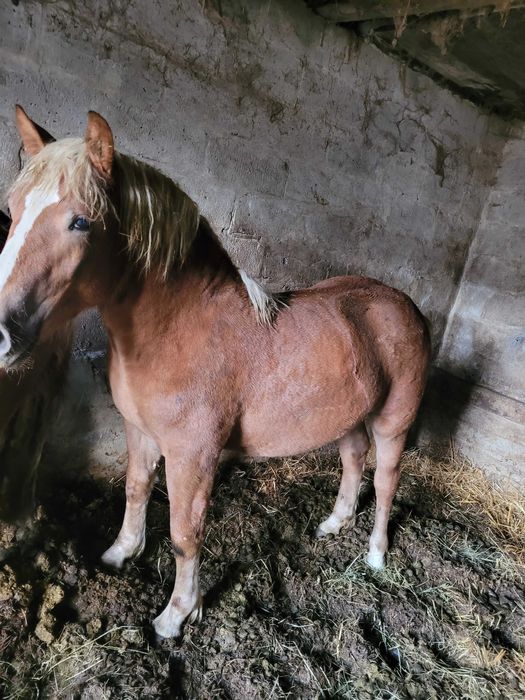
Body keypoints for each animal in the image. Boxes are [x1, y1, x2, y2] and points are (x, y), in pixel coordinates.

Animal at [0, 105, 430, 640]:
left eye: (80, 221)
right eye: (12, 207)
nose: (1, 334)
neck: (176, 330)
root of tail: (404, 305)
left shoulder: (193, 454)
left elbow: (186, 534)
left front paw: (177, 614)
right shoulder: (139, 431)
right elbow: (135, 491)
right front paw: (120, 553)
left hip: (393, 422)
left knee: (387, 481)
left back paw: (375, 555)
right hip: (348, 416)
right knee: (353, 461)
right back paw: (334, 524)